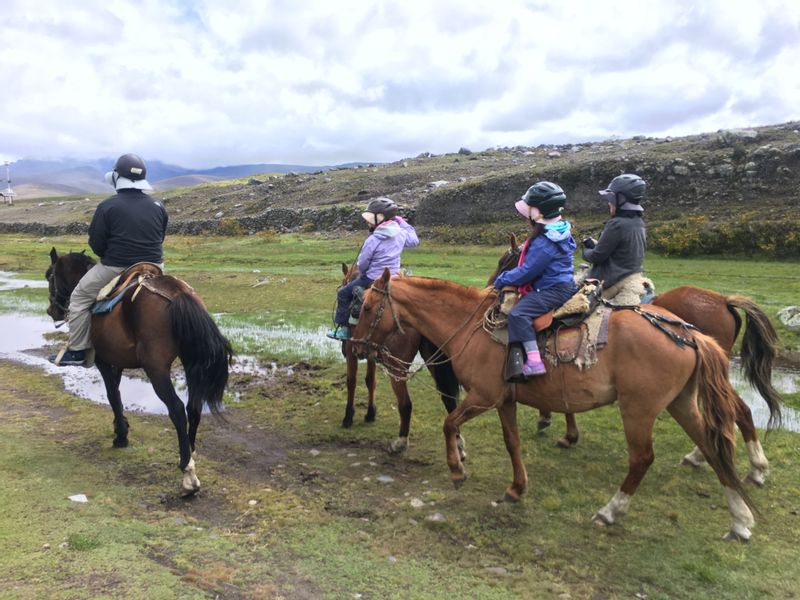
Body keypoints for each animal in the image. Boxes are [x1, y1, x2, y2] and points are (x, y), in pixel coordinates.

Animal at [46, 248, 233, 496]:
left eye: (49, 276)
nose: (52, 311)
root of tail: (177, 294)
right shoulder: (117, 362)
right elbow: (116, 395)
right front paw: (120, 427)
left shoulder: (104, 361)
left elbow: (112, 395)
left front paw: (121, 437)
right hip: (191, 362)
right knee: (193, 407)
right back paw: (189, 451)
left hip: (156, 369)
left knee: (176, 409)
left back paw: (188, 473)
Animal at [338, 262, 462, 454]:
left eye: (344, 283)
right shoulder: (370, 353)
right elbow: (370, 381)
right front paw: (370, 413)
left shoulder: (353, 352)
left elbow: (352, 381)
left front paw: (348, 417)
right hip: (432, 360)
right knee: (449, 400)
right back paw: (459, 445)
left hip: (397, 368)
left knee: (406, 404)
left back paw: (400, 442)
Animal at [354, 270, 756, 540]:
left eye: (369, 306)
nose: (357, 347)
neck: (470, 326)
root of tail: (686, 332)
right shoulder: (505, 400)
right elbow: (512, 442)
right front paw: (517, 488)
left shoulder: (484, 396)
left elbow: (449, 423)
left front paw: (457, 471)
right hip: (682, 403)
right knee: (714, 448)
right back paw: (740, 520)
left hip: (638, 410)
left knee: (643, 458)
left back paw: (611, 511)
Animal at [488, 234, 780, 488]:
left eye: (506, 261)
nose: (492, 286)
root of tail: (724, 300)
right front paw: (560, 427)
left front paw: (555, 424)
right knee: (733, 411)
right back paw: (732, 463)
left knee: (735, 410)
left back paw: (748, 466)